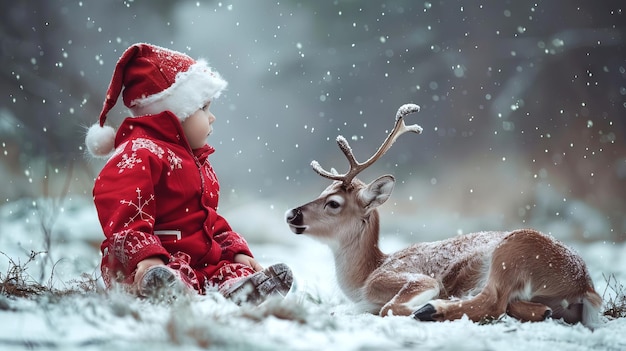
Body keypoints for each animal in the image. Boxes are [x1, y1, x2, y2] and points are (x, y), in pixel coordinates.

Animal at [286, 104, 604, 328]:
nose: (291, 213)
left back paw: (431, 309)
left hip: (512, 252)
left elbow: (389, 306)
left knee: (492, 302)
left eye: (334, 203)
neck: (365, 274)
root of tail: (583, 284)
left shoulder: (407, 278)